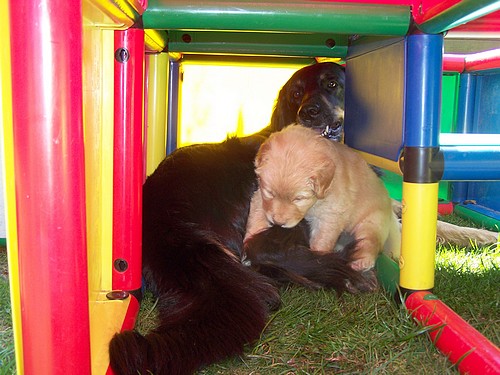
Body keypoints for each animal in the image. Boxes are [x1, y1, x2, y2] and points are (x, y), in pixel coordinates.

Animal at [244, 125, 400, 272]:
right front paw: (250, 245)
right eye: (270, 193)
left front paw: (319, 260)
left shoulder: (330, 216)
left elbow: (322, 240)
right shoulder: (260, 197)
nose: (278, 222)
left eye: (299, 199)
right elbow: (257, 218)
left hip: (372, 221)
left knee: (369, 242)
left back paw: (362, 262)